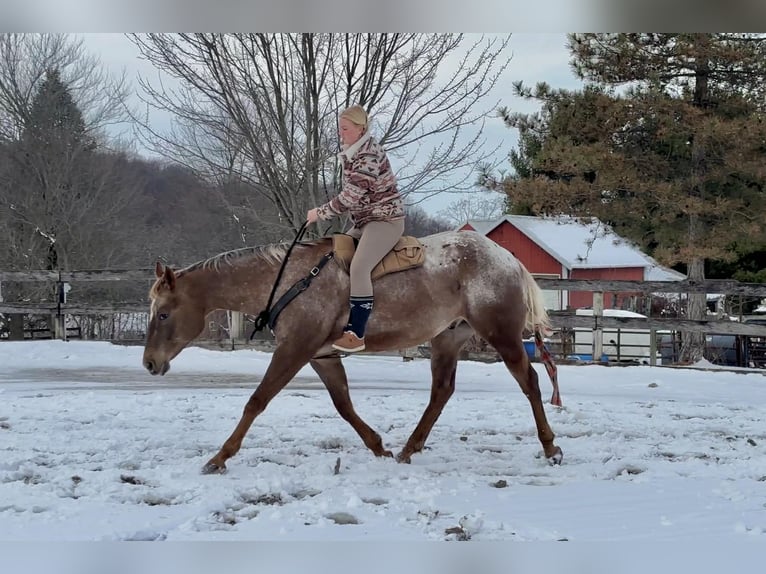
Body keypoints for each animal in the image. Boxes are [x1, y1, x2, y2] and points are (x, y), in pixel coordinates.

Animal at [142, 229, 563, 474]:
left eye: (163, 313)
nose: (149, 362)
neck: (290, 279)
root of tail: (509, 259)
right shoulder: (320, 355)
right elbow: (343, 404)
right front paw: (378, 446)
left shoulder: (294, 350)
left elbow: (257, 400)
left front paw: (220, 457)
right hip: (448, 339)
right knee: (441, 391)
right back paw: (408, 449)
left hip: (502, 335)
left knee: (530, 381)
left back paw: (550, 447)